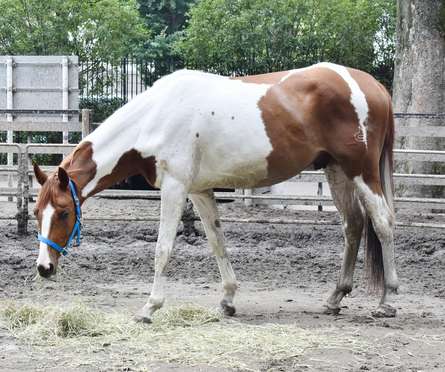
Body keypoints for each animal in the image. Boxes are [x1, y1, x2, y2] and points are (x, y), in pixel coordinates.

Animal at [33, 62, 398, 322]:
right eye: (37, 212)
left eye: (64, 212)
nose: (44, 268)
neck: (156, 116)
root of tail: (373, 87)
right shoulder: (200, 191)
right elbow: (217, 243)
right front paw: (227, 300)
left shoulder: (175, 188)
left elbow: (163, 249)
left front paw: (150, 308)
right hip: (337, 171)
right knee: (353, 226)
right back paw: (335, 298)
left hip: (362, 172)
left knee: (382, 222)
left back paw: (387, 300)